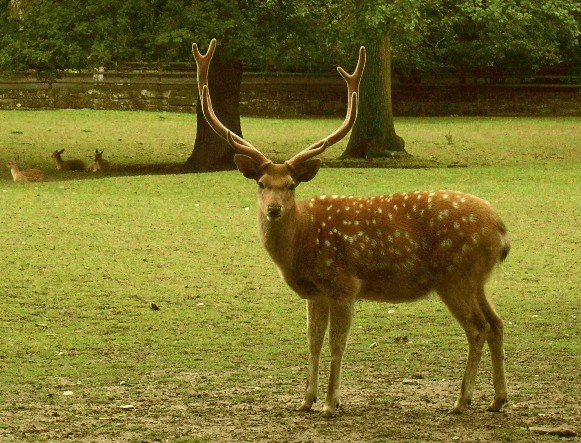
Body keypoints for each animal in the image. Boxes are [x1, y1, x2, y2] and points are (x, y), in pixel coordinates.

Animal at [194, 40, 508, 418]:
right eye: (261, 183)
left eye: (291, 185)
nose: (274, 209)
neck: (302, 244)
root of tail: (502, 229)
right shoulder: (315, 292)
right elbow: (312, 342)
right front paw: (306, 400)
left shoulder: (344, 284)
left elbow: (337, 343)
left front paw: (331, 403)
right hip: (477, 279)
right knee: (497, 323)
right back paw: (497, 399)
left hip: (455, 276)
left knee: (477, 328)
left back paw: (462, 401)